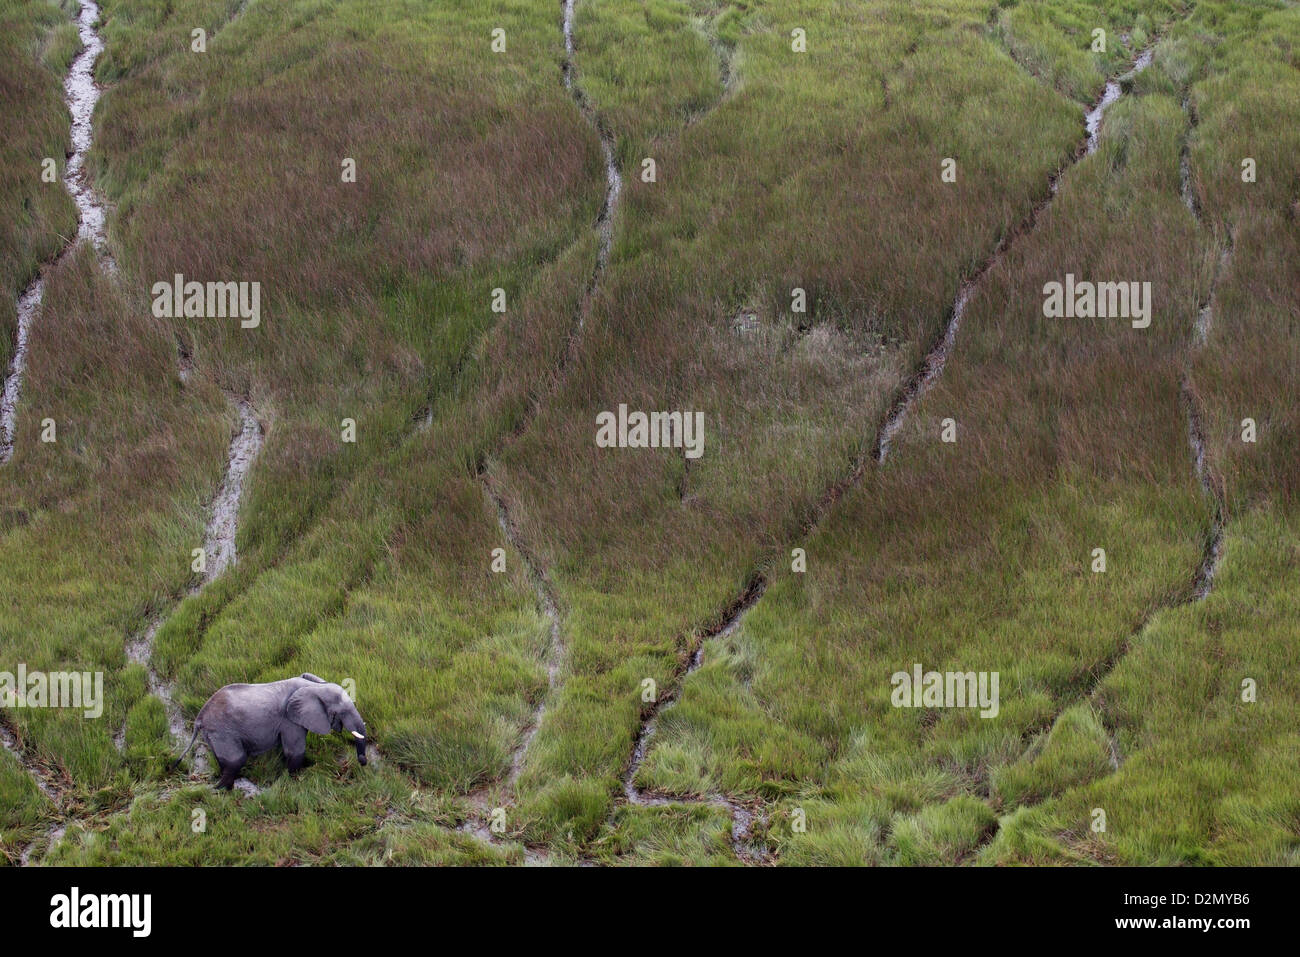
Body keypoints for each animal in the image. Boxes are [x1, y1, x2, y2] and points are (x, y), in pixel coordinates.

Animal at [175, 670, 369, 790]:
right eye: (340, 712)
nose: (362, 761)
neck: (314, 686)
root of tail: (199, 718)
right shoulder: (289, 719)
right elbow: (295, 750)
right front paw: (295, 780)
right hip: (222, 731)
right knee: (236, 759)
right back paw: (219, 790)